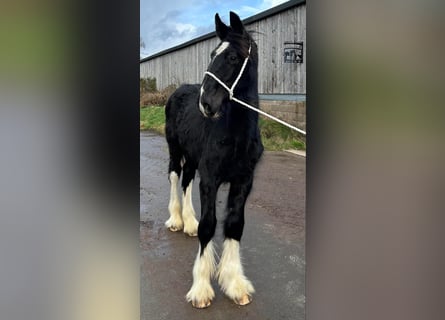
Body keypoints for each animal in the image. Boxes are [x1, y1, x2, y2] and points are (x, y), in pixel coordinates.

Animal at [164, 11, 262, 308]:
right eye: (211, 54)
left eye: (232, 57)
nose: (205, 104)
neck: (235, 136)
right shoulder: (210, 178)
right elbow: (209, 227)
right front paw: (201, 289)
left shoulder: (243, 182)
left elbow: (234, 225)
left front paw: (235, 284)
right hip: (175, 149)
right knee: (174, 176)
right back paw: (176, 220)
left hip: (193, 158)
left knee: (186, 180)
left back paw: (189, 223)